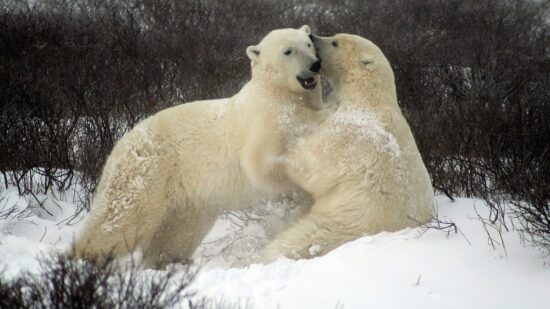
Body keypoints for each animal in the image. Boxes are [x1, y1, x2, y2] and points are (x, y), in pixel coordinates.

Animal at [73, 25, 324, 268]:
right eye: (288, 51)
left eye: (308, 44)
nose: (314, 64)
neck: (275, 93)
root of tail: (120, 143)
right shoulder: (263, 122)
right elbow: (262, 166)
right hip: (146, 172)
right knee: (121, 218)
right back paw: (84, 259)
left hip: (188, 198)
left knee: (179, 232)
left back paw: (167, 260)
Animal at [260, 33, 438, 260]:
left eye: (335, 42)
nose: (312, 36)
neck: (368, 97)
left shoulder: (351, 134)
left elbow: (313, 165)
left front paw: (284, 153)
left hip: (341, 224)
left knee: (297, 240)